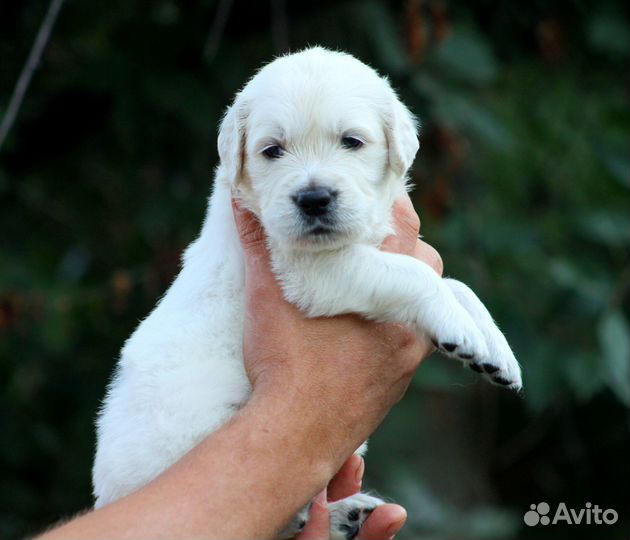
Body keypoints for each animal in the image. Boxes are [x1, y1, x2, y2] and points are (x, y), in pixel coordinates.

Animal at [91, 47, 520, 540]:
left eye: (351, 141)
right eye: (272, 150)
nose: (314, 199)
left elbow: (457, 284)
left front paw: (494, 350)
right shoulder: (310, 272)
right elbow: (418, 276)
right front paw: (460, 330)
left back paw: (347, 514)